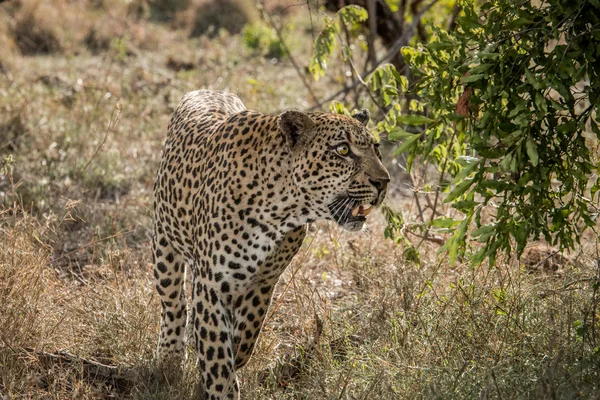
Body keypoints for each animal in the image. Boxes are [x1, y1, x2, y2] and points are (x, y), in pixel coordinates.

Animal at [152, 89, 392, 398]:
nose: (383, 182)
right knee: (173, 303)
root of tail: (208, 90)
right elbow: (218, 356)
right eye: (342, 150)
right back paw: (169, 359)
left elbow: (245, 337)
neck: (282, 208)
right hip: (164, 244)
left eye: (376, 149)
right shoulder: (213, 283)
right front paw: (220, 387)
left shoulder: (264, 281)